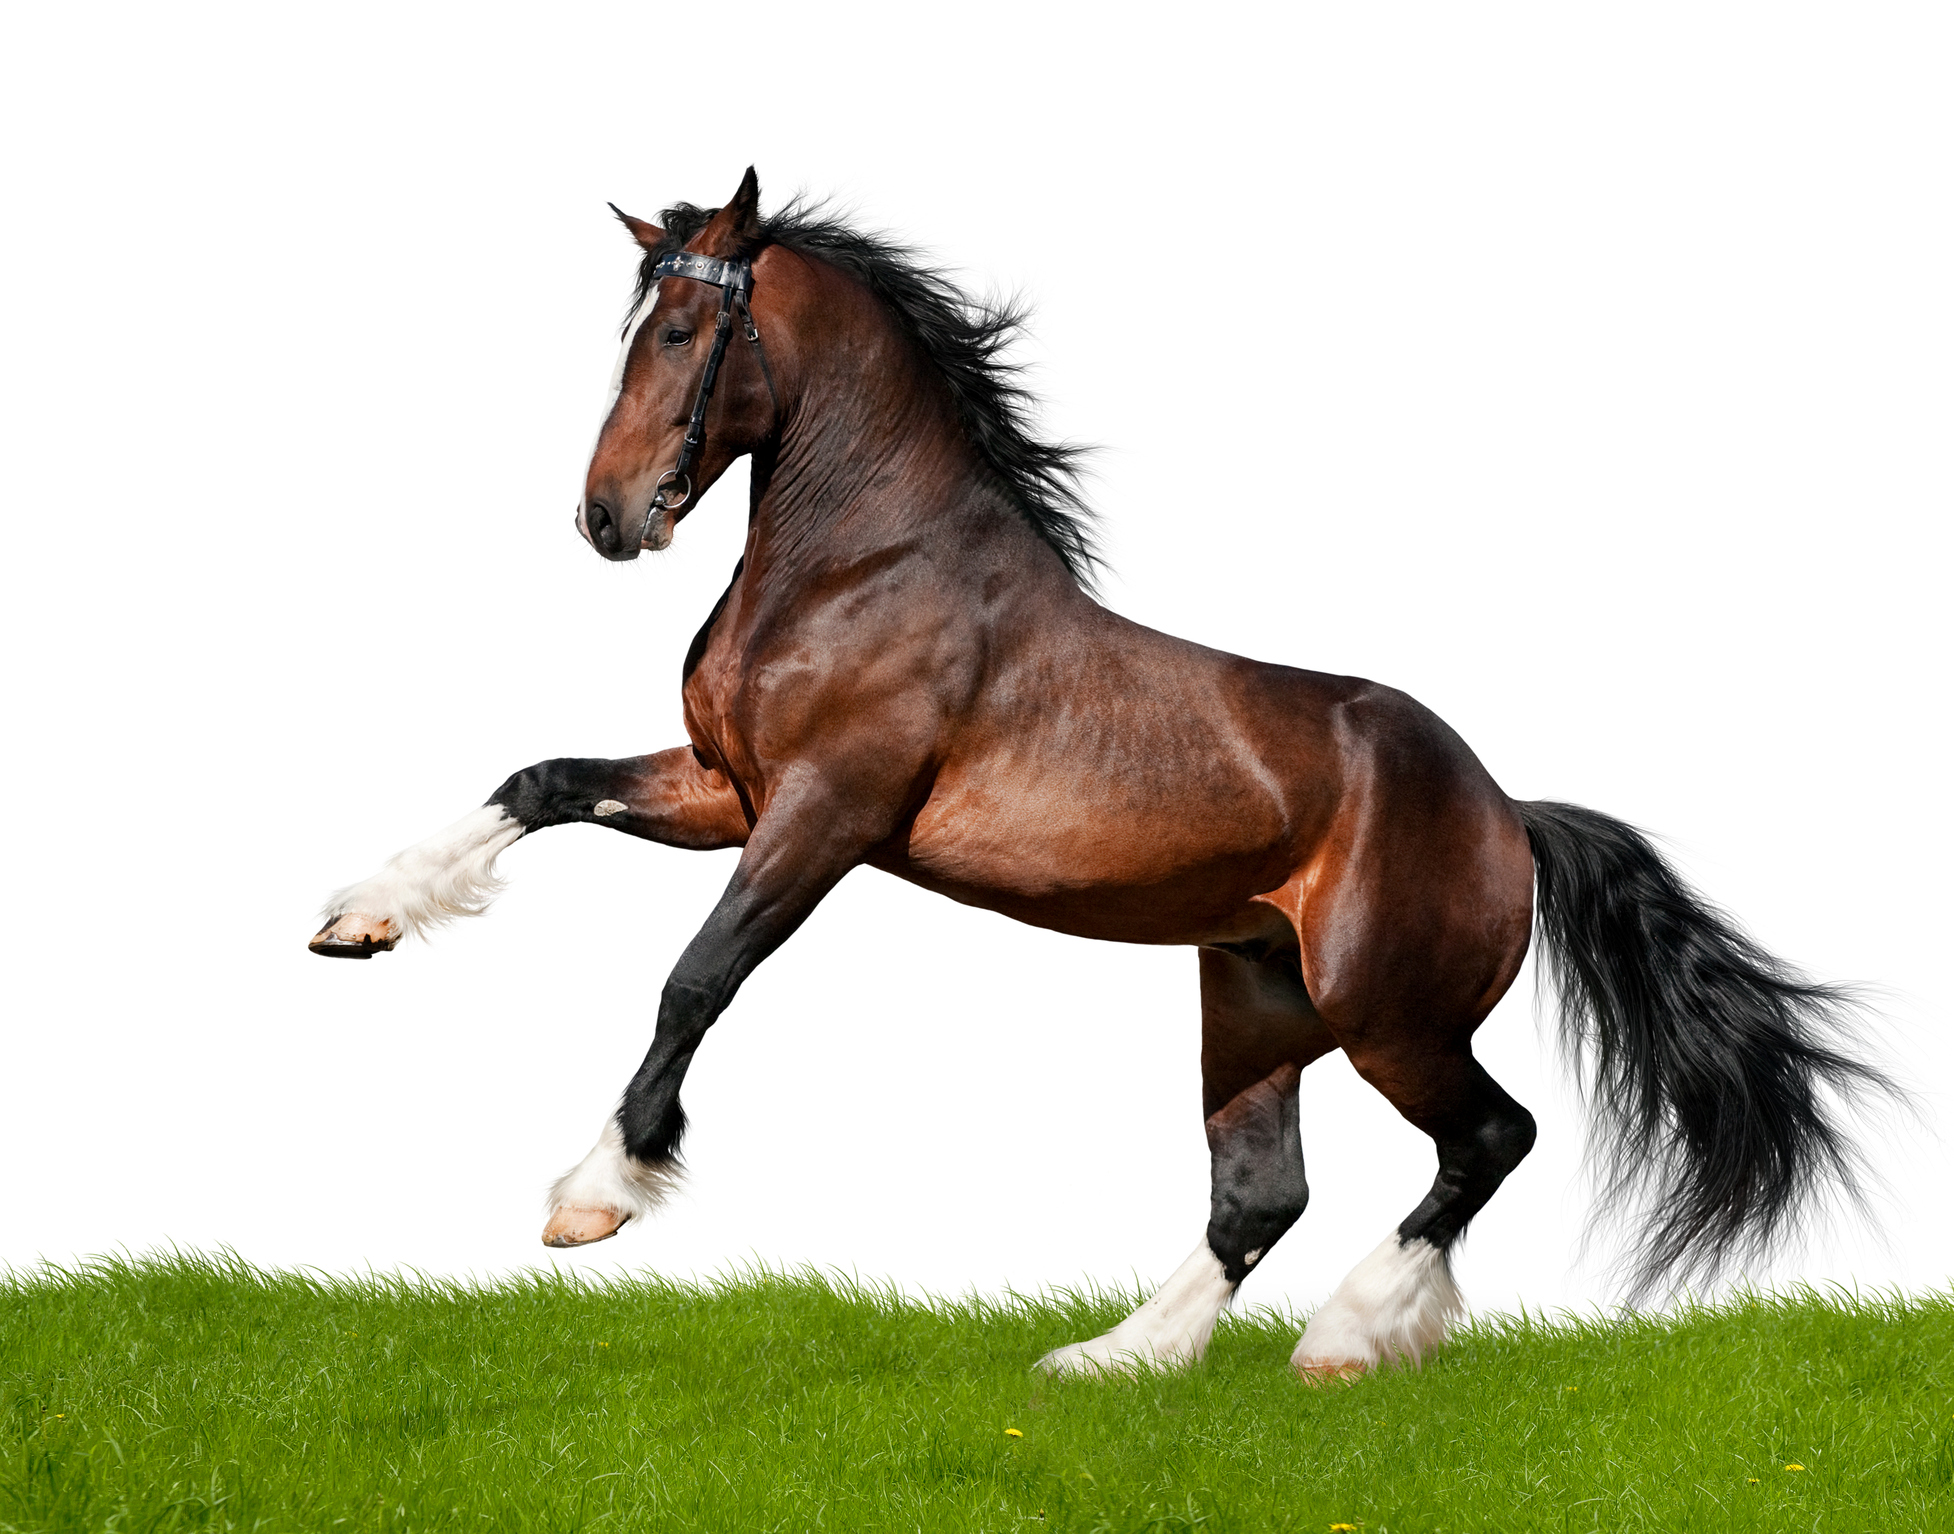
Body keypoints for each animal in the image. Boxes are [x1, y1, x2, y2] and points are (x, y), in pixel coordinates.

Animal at [311, 168, 1886, 1379]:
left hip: (1388, 1014)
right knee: (1259, 1193)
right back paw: (1115, 1358)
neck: (858, 563)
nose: (609, 516)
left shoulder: (821, 815)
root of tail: (1508, 814)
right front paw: (358, 919)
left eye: (688, 327)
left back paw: (1347, 1338)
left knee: (1491, 1137)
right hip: (1253, 1002)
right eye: (629, 326)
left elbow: (696, 979)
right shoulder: (724, 790)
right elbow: (537, 781)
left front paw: (595, 1194)